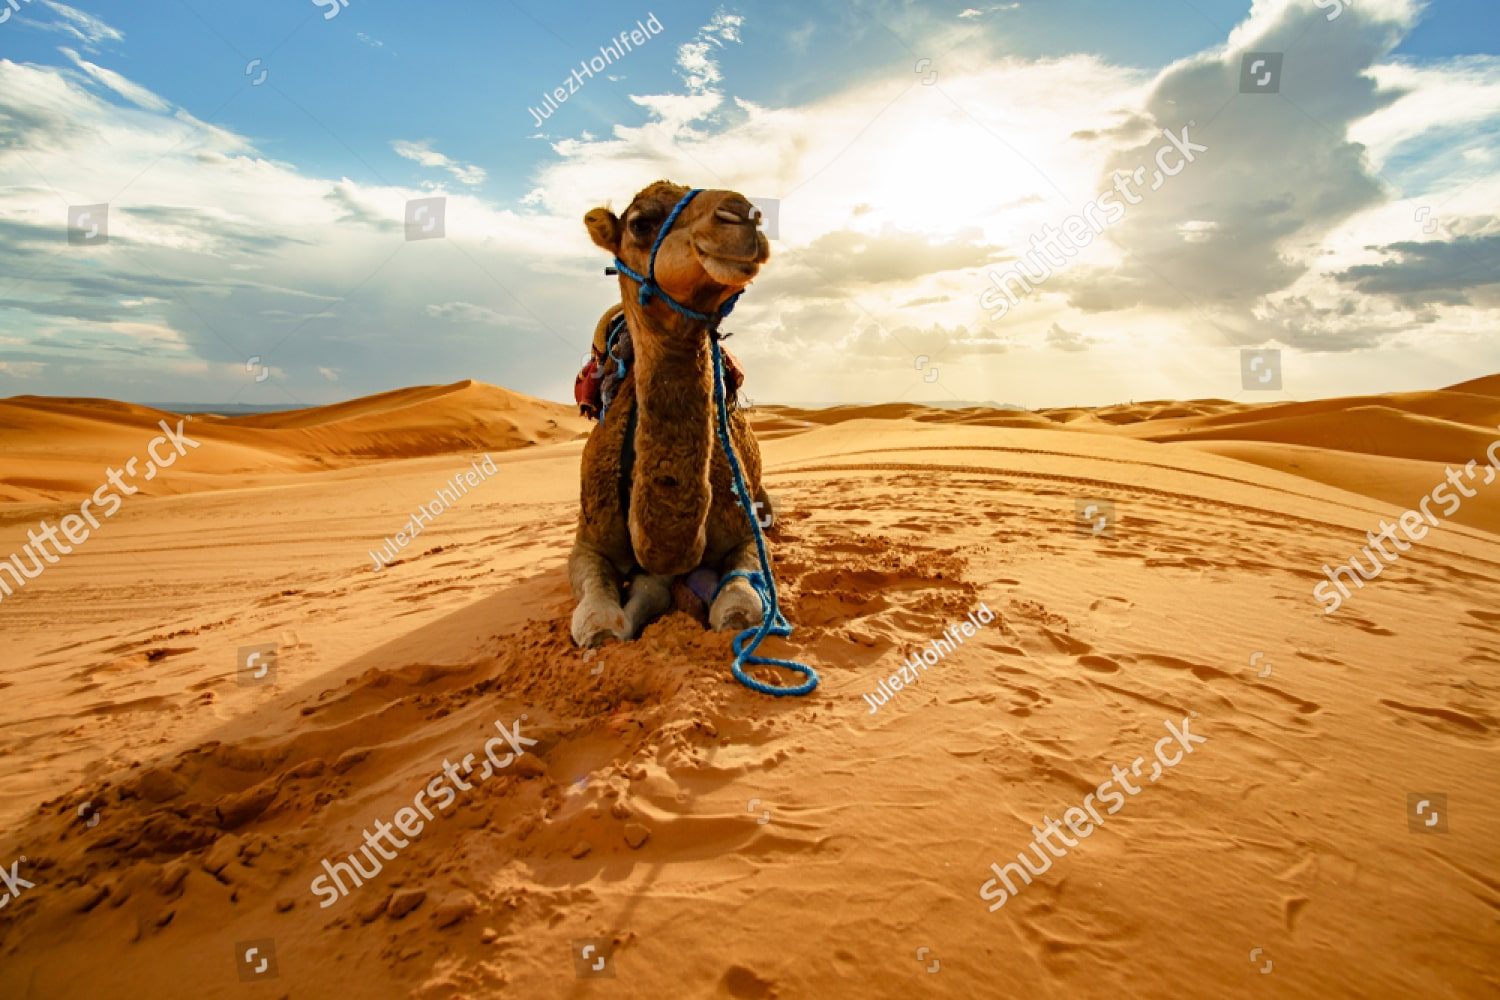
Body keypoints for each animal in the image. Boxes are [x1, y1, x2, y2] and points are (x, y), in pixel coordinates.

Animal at [569, 181, 773, 649]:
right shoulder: (587, 542)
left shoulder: (745, 533)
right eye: (641, 223)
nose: (744, 215)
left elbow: (738, 608)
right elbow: (598, 621)